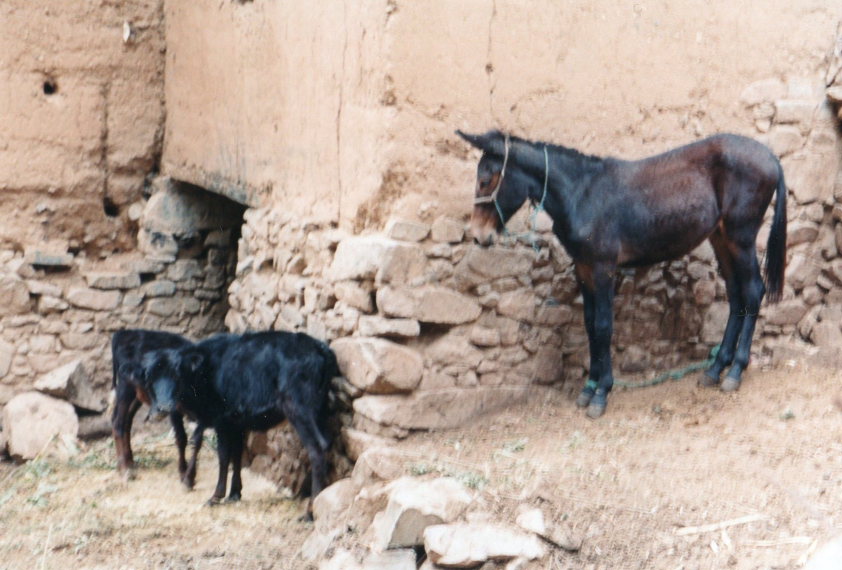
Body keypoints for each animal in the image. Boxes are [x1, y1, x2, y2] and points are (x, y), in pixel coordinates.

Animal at [110, 328, 204, 484]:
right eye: (149, 377)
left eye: (178, 375)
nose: (163, 407)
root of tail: (126, 332)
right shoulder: (175, 411)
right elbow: (181, 438)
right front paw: (183, 471)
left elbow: (197, 441)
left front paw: (190, 476)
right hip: (125, 387)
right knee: (118, 423)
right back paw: (125, 469)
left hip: (137, 395)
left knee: (127, 422)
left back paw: (129, 462)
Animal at [123, 328, 336, 506]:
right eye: (150, 377)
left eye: (177, 374)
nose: (164, 407)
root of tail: (319, 347)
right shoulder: (236, 422)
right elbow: (237, 455)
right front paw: (234, 493)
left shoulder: (222, 420)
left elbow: (224, 456)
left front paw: (216, 496)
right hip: (320, 411)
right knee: (326, 444)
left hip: (299, 409)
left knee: (317, 448)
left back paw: (310, 511)